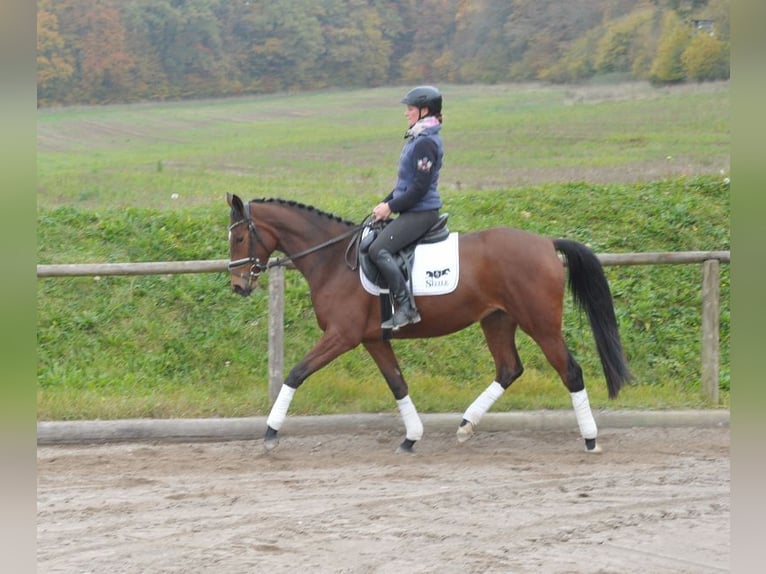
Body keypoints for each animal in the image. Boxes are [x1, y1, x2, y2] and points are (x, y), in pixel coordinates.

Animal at [225, 194, 632, 454]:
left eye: (240, 236)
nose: (238, 286)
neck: (333, 260)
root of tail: (546, 243)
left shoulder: (342, 336)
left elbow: (296, 373)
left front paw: (270, 433)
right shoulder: (373, 339)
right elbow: (397, 383)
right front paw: (411, 437)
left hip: (542, 325)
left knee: (570, 372)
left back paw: (590, 439)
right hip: (497, 320)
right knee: (508, 369)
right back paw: (466, 425)